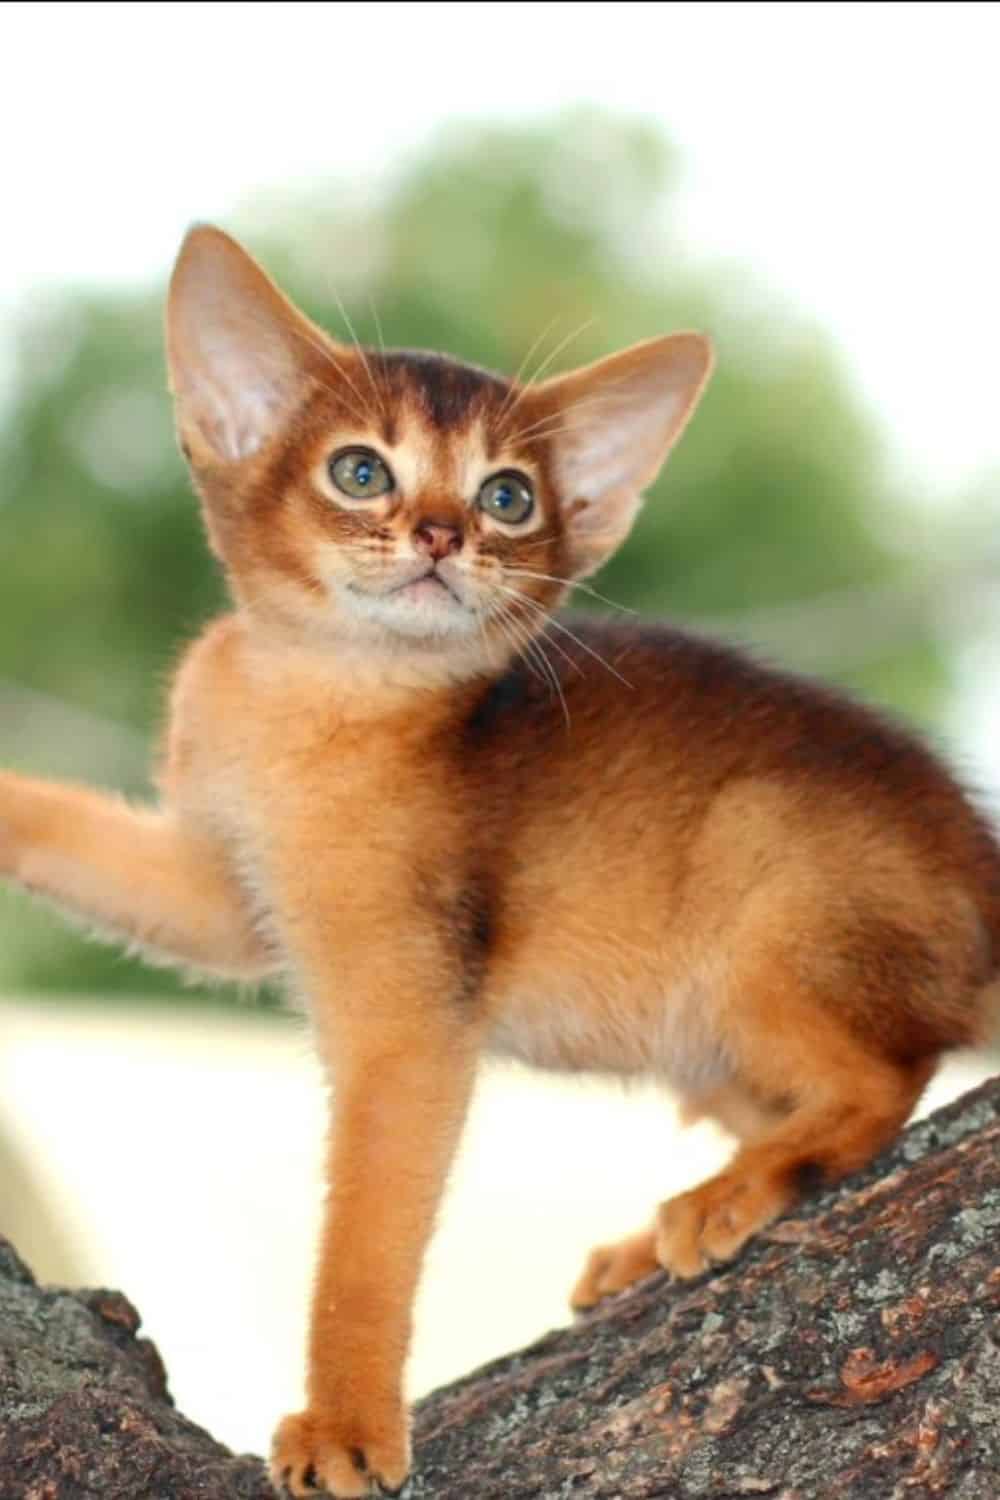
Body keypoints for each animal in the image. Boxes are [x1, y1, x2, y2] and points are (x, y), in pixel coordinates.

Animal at [1, 225, 1000, 1500]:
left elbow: (366, 1240)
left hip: (763, 910)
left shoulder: (409, 1022)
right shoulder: (220, 891)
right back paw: (645, 1245)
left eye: (507, 497)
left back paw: (723, 1198)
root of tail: (982, 871)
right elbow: (86, 840)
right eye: (360, 472)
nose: (442, 534)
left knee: (884, 1081)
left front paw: (345, 1425)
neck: (306, 700)